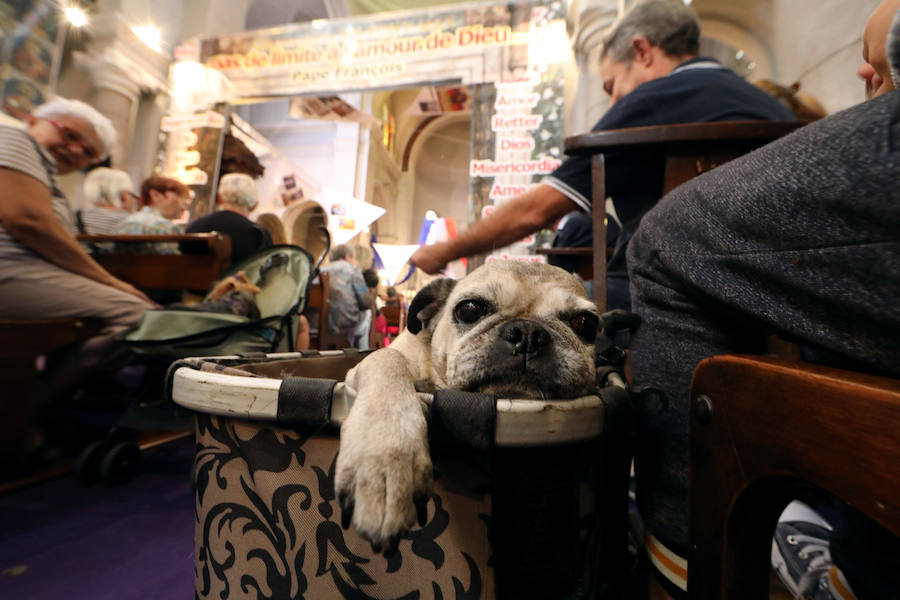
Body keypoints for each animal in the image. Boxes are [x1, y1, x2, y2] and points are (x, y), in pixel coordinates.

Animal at [334, 260, 600, 552]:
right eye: (470, 309)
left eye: (585, 323)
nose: (528, 333)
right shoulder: (383, 361)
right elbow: (388, 360)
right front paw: (387, 455)